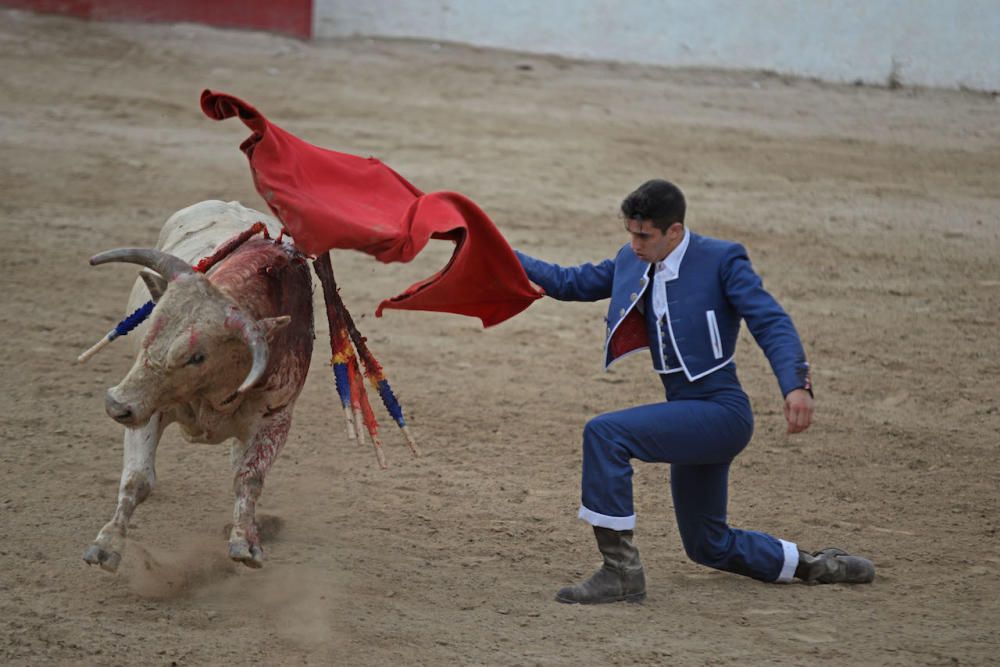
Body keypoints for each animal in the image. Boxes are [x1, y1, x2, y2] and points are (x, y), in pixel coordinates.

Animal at [84, 201, 314, 572]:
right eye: (151, 326)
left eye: (197, 356)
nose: (115, 405)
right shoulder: (149, 404)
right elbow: (138, 478)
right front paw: (105, 546)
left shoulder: (276, 419)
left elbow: (248, 478)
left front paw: (245, 541)